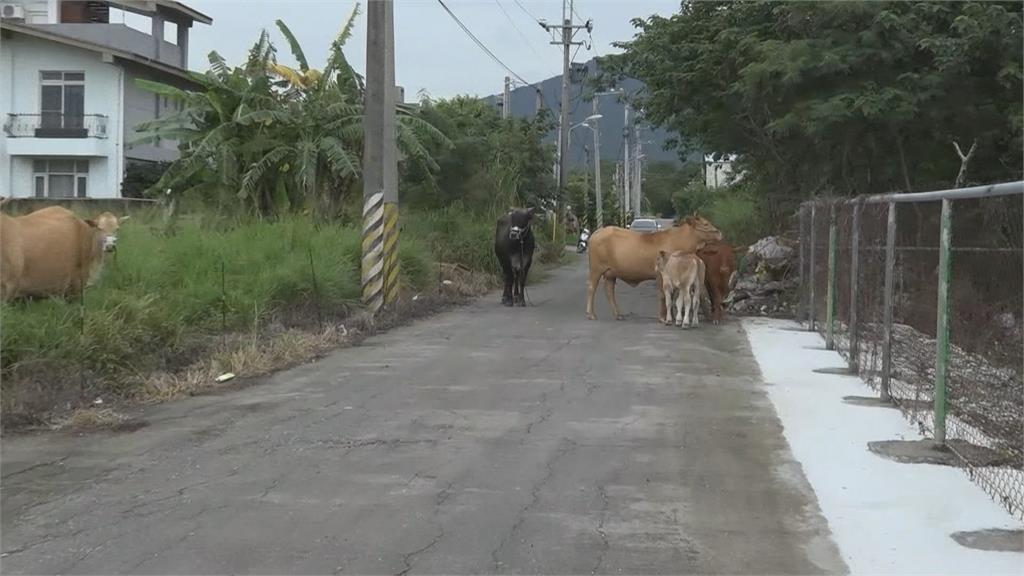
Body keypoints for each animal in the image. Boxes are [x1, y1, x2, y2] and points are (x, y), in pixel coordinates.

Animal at [585, 214, 720, 319]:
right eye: (706, 224)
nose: (719, 233)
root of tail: (597, 232)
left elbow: (672, 296)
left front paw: (670, 316)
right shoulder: (661, 276)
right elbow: (664, 295)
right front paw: (663, 317)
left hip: (611, 273)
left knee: (609, 291)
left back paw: (618, 314)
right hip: (596, 269)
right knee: (591, 287)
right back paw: (591, 314)